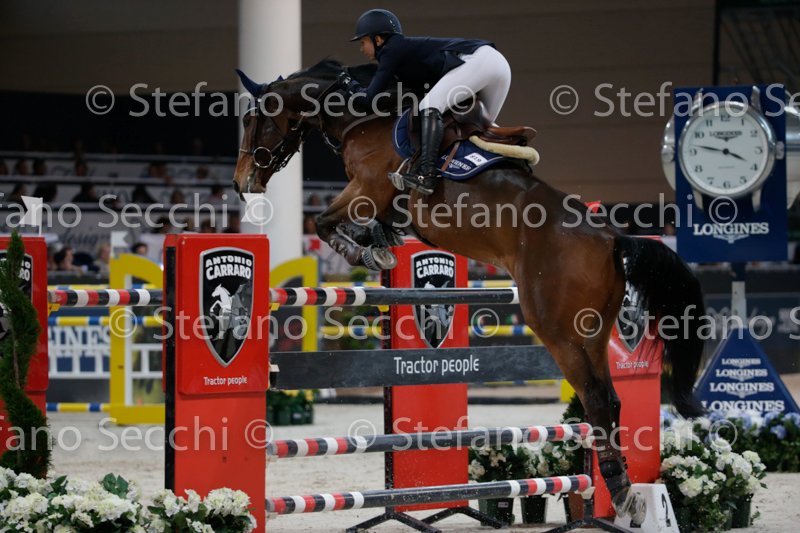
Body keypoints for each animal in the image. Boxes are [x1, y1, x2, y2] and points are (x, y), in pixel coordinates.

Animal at [232, 59, 706, 519]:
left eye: (251, 119)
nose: (241, 183)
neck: (362, 118)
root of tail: (612, 239)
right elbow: (364, 225)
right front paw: (379, 242)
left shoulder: (365, 188)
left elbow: (324, 222)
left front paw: (367, 252)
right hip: (593, 332)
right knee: (610, 400)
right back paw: (621, 487)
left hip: (559, 331)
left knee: (598, 399)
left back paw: (622, 491)